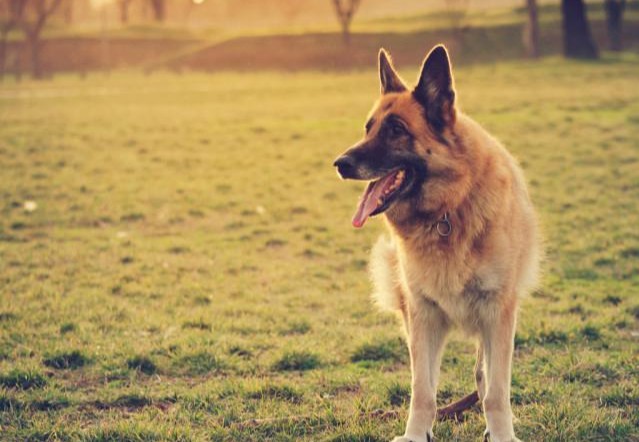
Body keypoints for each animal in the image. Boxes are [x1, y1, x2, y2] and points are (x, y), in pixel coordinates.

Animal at [336, 45, 540, 442]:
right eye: (368, 128)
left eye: (396, 130)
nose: (340, 163)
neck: (448, 210)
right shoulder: (423, 316)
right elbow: (423, 391)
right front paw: (417, 433)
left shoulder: (498, 312)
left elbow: (496, 391)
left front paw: (501, 432)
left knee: (485, 374)